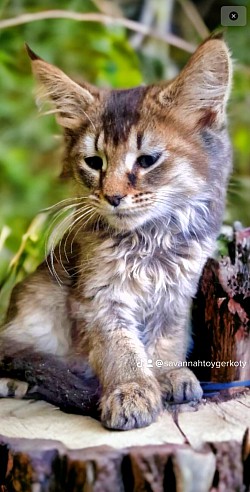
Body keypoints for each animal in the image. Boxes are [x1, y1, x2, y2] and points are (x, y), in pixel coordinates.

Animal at [0, 34, 232, 428]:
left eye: (147, 160)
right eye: (94, 163)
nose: (112, 197)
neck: (153, 240)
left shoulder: (178, 292)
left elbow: (166, 340)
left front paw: (167, 375)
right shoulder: (99, 296)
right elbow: (120, 349)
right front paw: (131, 392)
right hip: (35, 302)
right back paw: (13, 378)